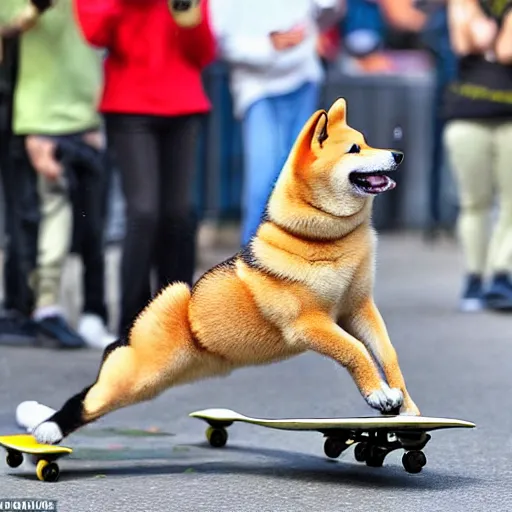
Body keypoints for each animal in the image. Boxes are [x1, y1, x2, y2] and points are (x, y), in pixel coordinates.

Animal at [27, 99, 420, 444]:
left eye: (367, 142)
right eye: (354, 148)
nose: (398, 155)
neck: (322, 239)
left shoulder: (358, 307)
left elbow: (386, 352)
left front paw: (404, 407)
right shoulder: (309, 323)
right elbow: (356, 350)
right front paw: (378, 395)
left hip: (152, 379)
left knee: (96, 391)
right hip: (139, 372)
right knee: (88, 397)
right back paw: (48, 428)